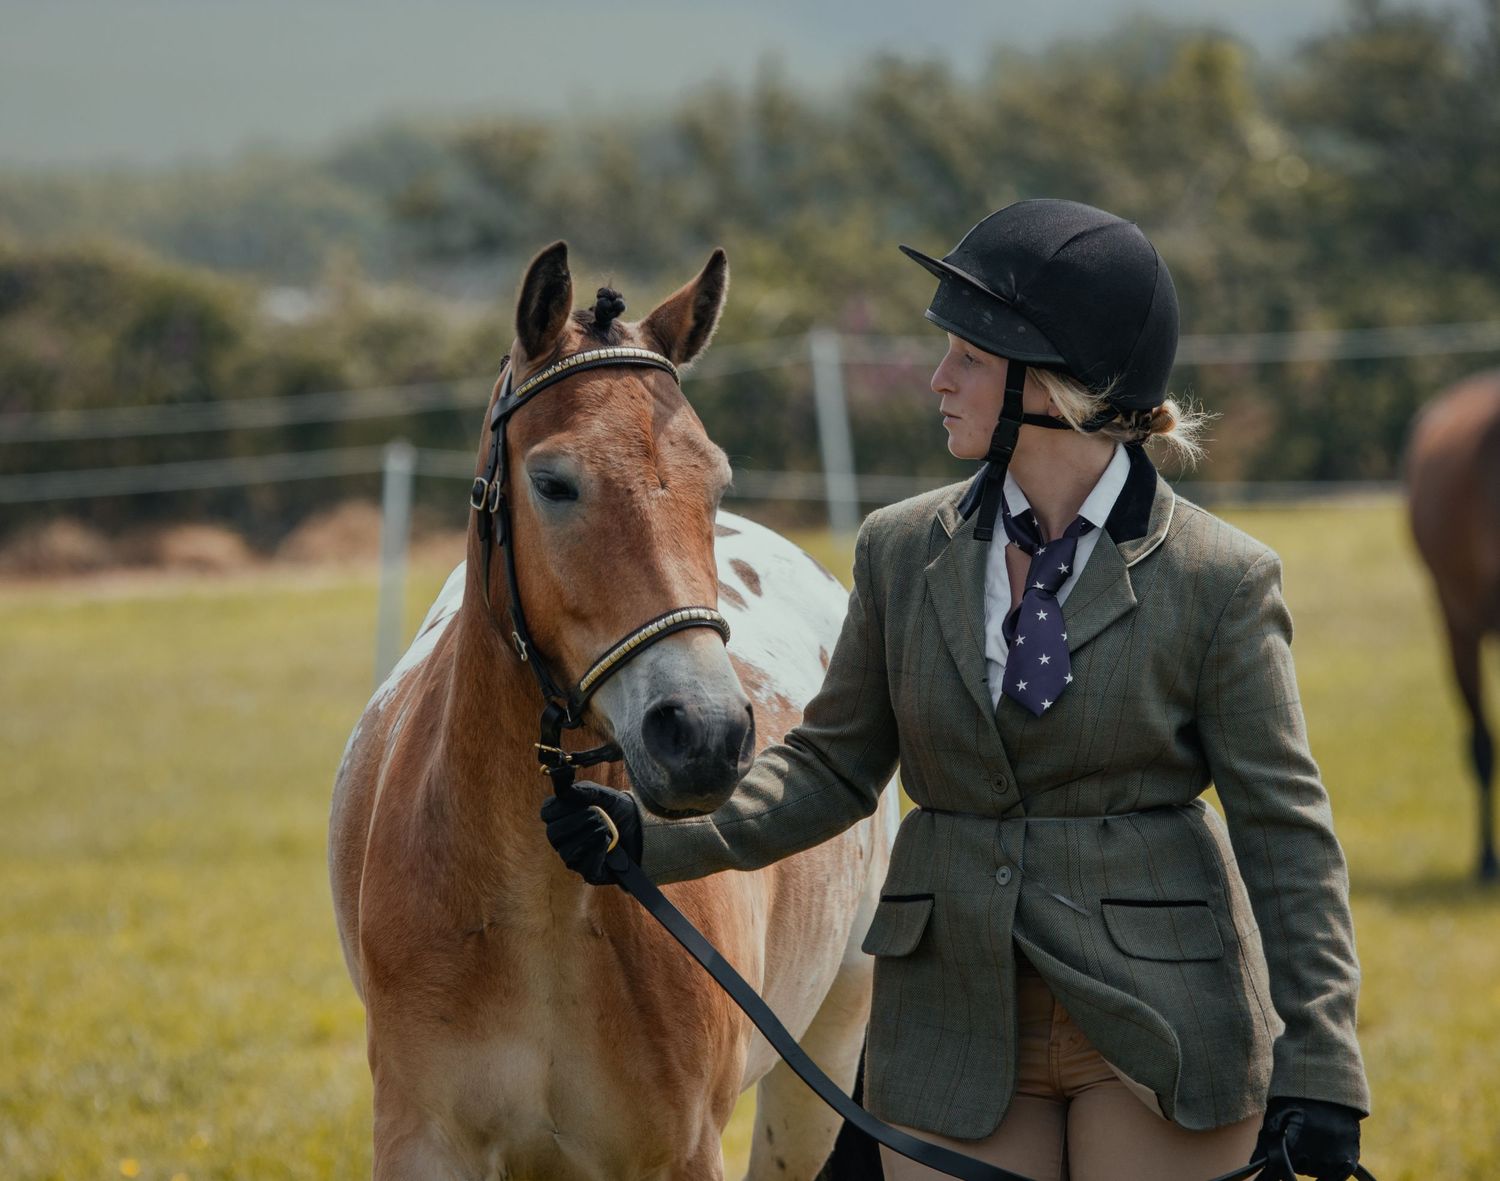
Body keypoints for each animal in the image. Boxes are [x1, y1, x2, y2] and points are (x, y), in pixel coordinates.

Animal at [329, 241, 899, 1179]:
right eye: (554, 482)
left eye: (716, 481)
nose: (705, 734)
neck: (536, 910)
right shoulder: (423, 1142)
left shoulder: (679, 1153)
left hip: (821, 1062)